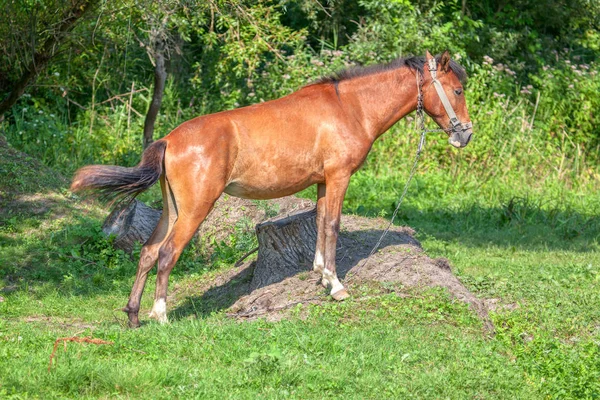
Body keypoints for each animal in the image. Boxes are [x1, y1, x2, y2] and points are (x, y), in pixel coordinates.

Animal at [70, 50, 474, 326]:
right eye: (457, 90)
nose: (465, 134)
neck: (350, 107)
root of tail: (170, 139)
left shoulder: (323, 182)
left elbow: (321, 222)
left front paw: (321, 274)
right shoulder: (339, 176)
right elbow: (332, 225)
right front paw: (337, 287)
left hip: (173, 209)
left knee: (148, 252)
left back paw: (134, 315)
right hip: (197, 209)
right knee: (168, 254)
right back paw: (161, 315)